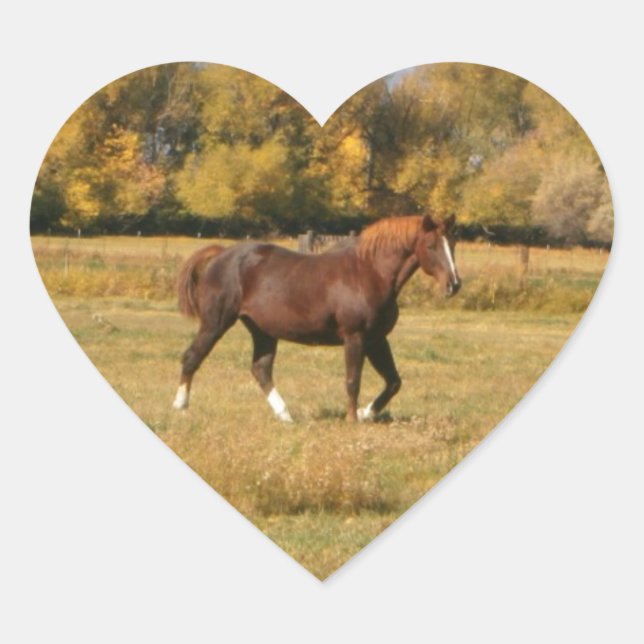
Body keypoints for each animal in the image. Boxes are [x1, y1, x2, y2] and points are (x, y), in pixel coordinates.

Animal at [173, 213, 461, 422]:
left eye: (453, 244)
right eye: (431, 246)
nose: (454, 285)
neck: (369, 272)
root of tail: (222, 254)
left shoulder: (377, 340)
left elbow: (393, 382)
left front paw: (366, 414)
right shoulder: (355, 337)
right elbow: (353, 381)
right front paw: (352, 419)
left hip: (263, 331)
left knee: (260, 369)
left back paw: (285, 416)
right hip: (216, 323)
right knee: (192, 357)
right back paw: (180, 406)